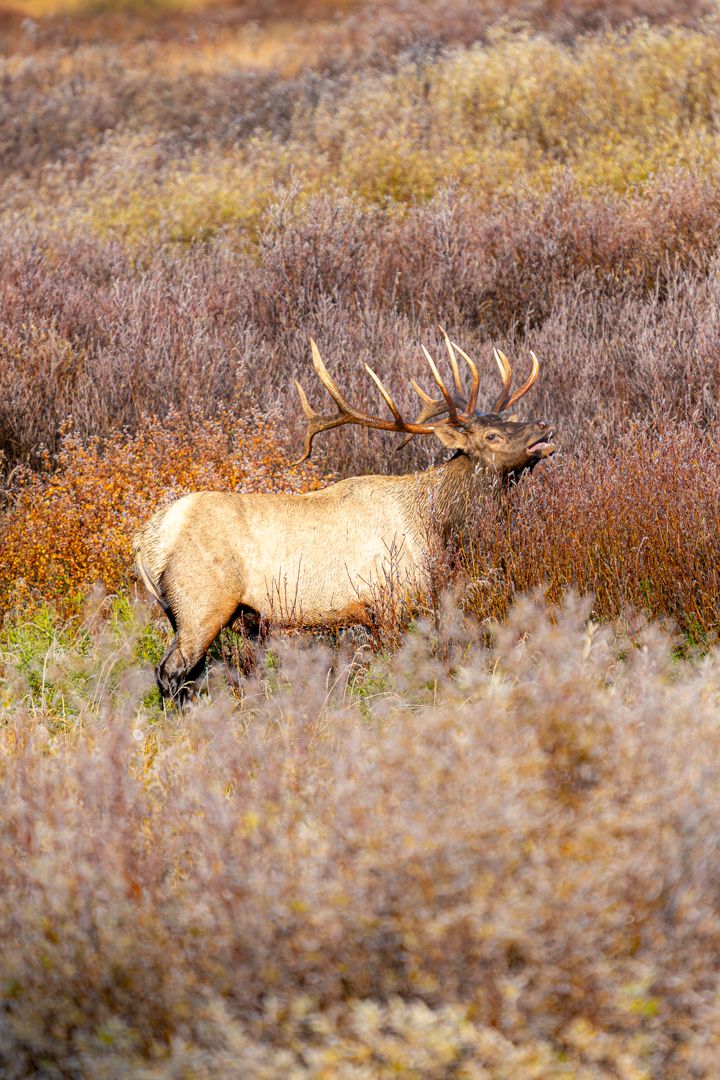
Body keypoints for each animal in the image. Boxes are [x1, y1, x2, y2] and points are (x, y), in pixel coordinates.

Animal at [134, 332, 555, 700]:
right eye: (491, 437)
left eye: (506, 420)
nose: (544, 426)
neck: (434, 527)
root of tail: (146, 541)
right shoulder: (386, 603)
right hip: (201, 602)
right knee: (170, 672)